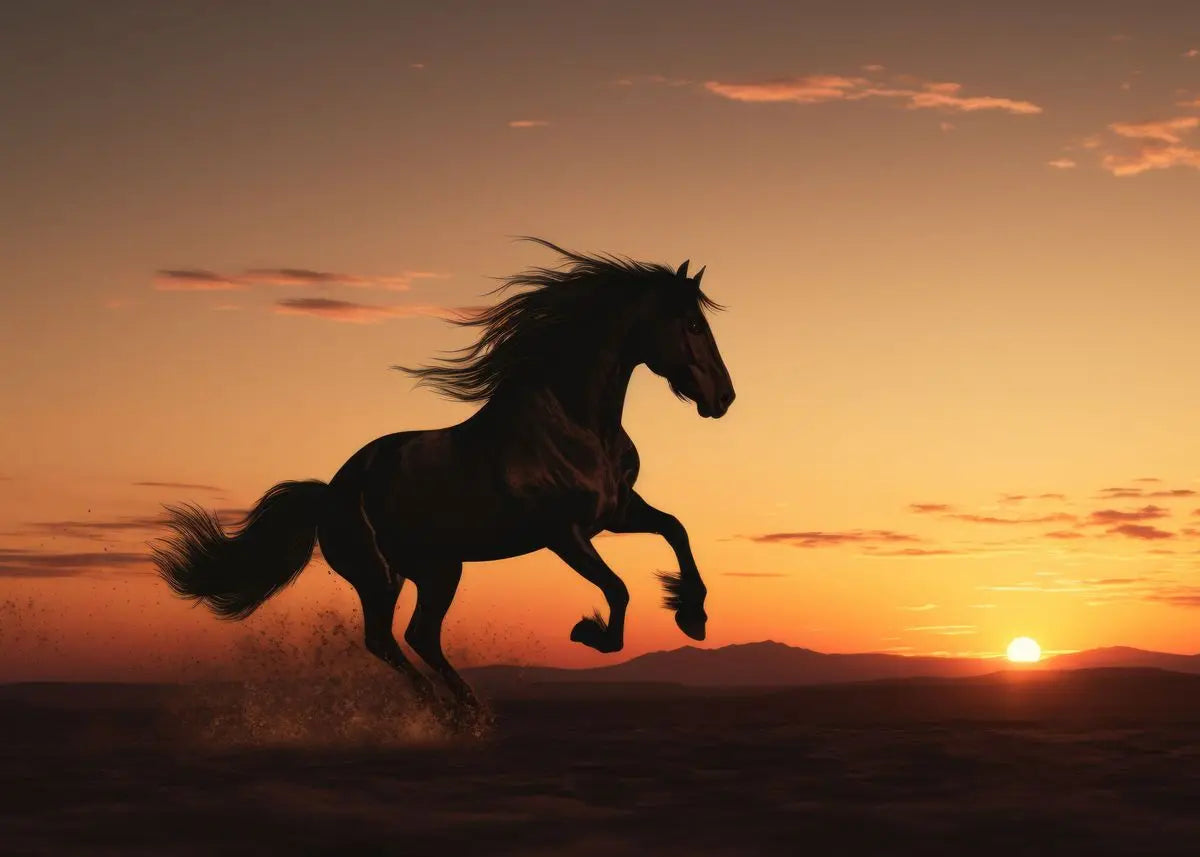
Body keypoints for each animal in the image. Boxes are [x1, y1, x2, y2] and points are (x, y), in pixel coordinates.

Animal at [152, 238, 735, 725]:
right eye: (691, 325)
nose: (724, 398)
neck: (575, 422)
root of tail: (330, 492)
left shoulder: (615, 513)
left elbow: (676, 529)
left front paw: (693, 615)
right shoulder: (564, 534)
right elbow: (617, 589)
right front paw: (587, 631)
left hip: (438, 570)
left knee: (419, 637)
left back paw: (466, 711)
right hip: (381, 576)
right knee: (386, 640)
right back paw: (449, 713)